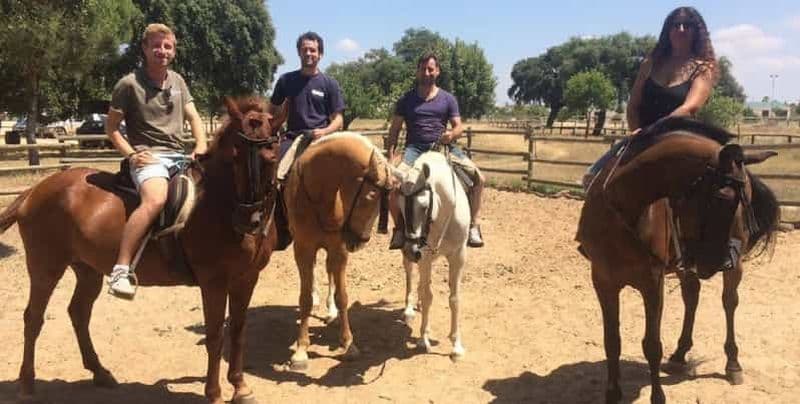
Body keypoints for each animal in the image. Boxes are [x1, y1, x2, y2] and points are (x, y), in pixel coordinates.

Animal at [0, 96, 281, 404]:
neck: (217, 203)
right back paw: (27, 386)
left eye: (272, 156)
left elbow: (239, 331)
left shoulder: (246, 278)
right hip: (45, 267)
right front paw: (215, 394)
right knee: (33, 318)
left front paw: (241, 387)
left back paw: (100, 373)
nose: (249, 220)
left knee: (78, 313)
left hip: (87, 269)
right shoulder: (213, 281)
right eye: (234, 156)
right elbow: (216, 334)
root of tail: (34, 190)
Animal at [282, 132, 396, 370]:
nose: (359, 241)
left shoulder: (339, 249)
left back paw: (331, 310)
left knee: (329, 272)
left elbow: (342, 296)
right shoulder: (303, 248)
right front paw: (301, 350)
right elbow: (304, 298)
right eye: (370, 196)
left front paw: (348, 345)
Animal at [393, 150, 470, 360]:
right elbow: (428, 296)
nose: (411, 249)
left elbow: (455, 298)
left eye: (423, 206)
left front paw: (456, 346)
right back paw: (409, 310)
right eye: (400, 206)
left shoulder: (458, 256)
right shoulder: (425, 256)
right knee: (411, 276)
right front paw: (423, 339)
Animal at [576, 117, 780, 404]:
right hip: (686, 263)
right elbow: (611, 340)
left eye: (743, 200)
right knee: (691, 296)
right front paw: (613, 394)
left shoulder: (652, 282)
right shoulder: (603, 280)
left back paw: (733, 364)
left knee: (729, 302)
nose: (716, 262)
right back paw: (680, 354)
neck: (622, 208)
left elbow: (652, 345)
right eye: (722, 197)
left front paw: (657, 397)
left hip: (733, 263)